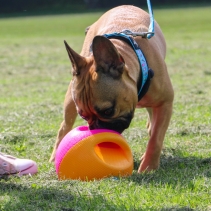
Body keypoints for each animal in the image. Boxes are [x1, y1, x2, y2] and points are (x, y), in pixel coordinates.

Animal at [49, 5, 173, 173]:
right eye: (83, 115)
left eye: (108, 111)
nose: (95, 128)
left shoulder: (165, 103)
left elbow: (156, 138)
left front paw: (148, 167)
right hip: (70, 97)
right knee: (64, 126)